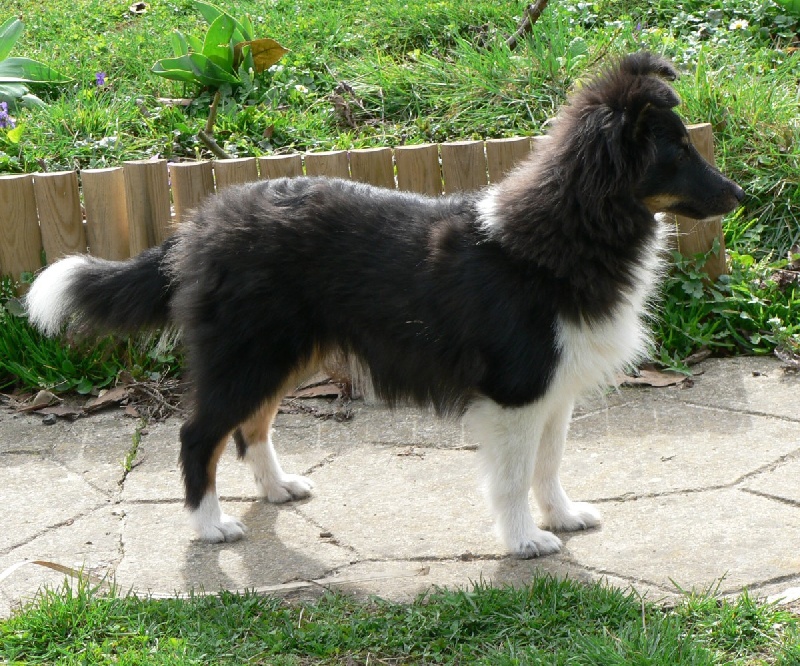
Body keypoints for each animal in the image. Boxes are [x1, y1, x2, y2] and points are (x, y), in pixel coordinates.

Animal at [26, 52, 744, 558]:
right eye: (677, 151)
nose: (740, 197)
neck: (571, 227)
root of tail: (200, 223)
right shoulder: (516, 392)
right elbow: (512, 476)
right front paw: (525, 542)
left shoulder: (554, 389)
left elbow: (549, 464)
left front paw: (563, 517)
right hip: (248, 353)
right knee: (199, 434)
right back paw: (213, 526)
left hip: (283, 353)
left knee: (253, 427)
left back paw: (277, 488)